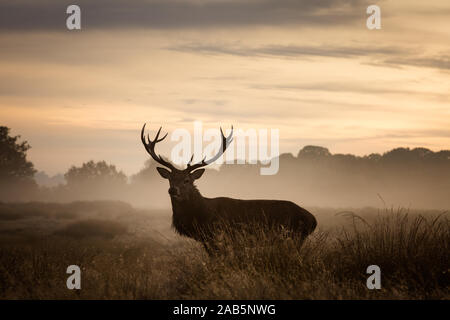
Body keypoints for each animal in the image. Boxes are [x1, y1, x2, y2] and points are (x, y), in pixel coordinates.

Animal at [141, 123, 316, 252]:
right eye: (170, 179)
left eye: (187, 180)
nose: (173, 190)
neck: (202, 214)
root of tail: (313, 220)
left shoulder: (218, 237)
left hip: (294, 237)